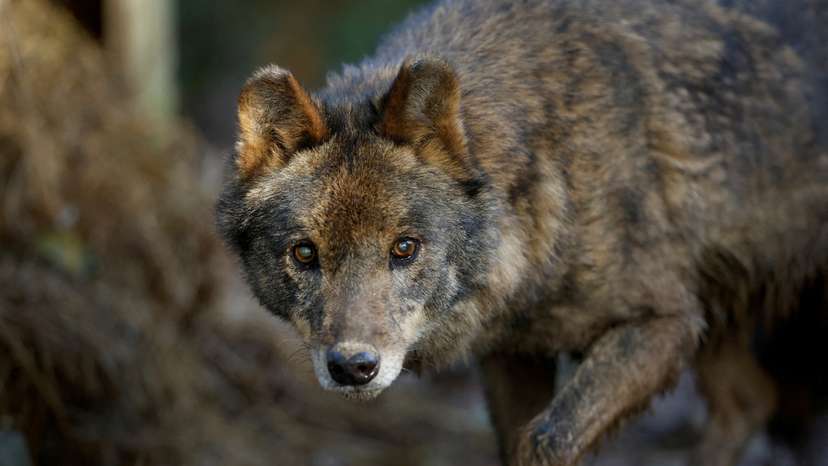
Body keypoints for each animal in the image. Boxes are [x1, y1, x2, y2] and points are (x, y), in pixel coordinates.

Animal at [216, 0, 828, 464]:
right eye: (304, 254)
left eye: (405, 248)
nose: (353, 368)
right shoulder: (510, 355)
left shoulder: (667, 322)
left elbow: (549, 438)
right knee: (750, 400)